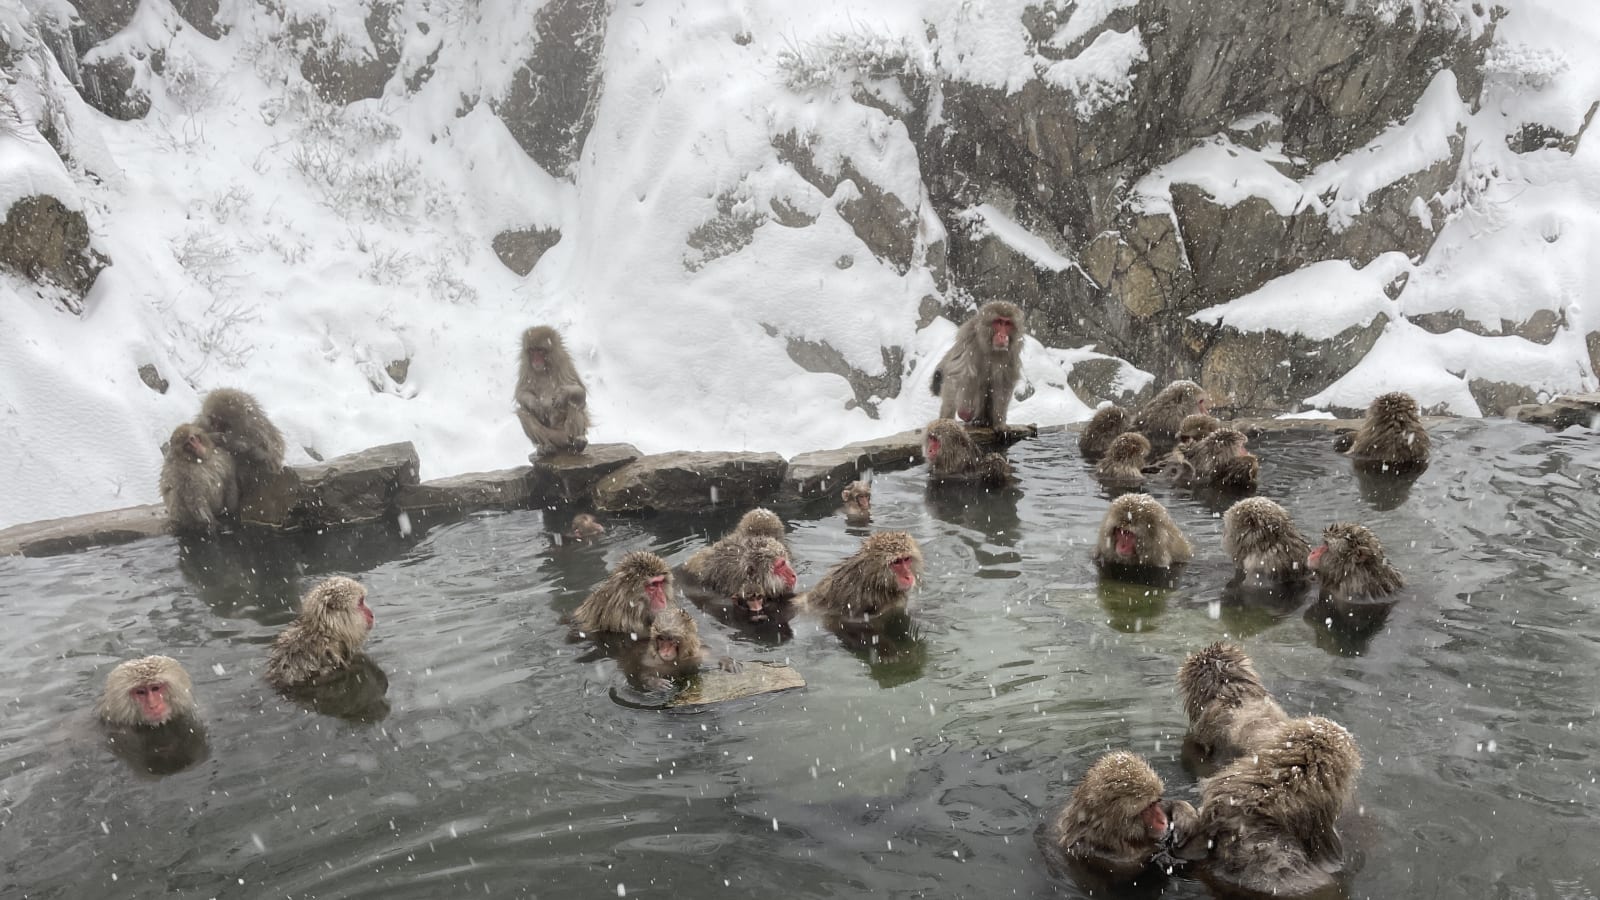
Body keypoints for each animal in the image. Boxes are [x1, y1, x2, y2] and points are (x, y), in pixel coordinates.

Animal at [514, 325, 590, 455]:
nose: (536, 360)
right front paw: (534, 403)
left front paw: (563, 394)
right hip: (550, 435)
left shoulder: (564, 363)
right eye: (532, 350)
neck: (544, 369)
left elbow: (580, 392)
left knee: (573, 403)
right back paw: (546, 446)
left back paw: (578, 442)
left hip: (565, 432)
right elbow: (521, 393)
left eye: (540, 350)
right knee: (523, 412)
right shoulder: (525, 368)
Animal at [1040, 751, 1200, 881]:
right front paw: (1163, 851)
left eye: (1155, 803)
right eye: (1147, 808)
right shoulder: (1105, 858)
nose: (1162, 821)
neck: (1104, 832)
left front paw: (1184, 814)